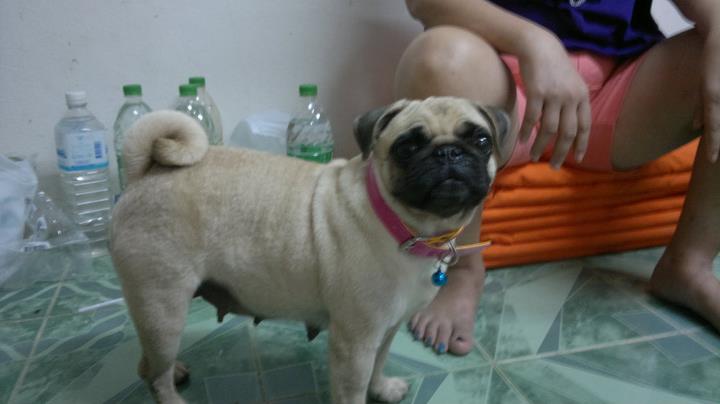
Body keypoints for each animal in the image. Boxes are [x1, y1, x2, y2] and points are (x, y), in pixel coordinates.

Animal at [110, 96, 508, 404]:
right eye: (407, 147)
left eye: (482, 140)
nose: (449, 153)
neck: (410, 228)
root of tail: (145, 173)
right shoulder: (355, 345)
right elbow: (353, 392)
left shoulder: (387, 330)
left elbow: (379, 366)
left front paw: (381, 389)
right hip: (163, 310)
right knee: (154, 374)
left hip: (156, 316)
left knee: (150, 365)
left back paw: (174, 370)